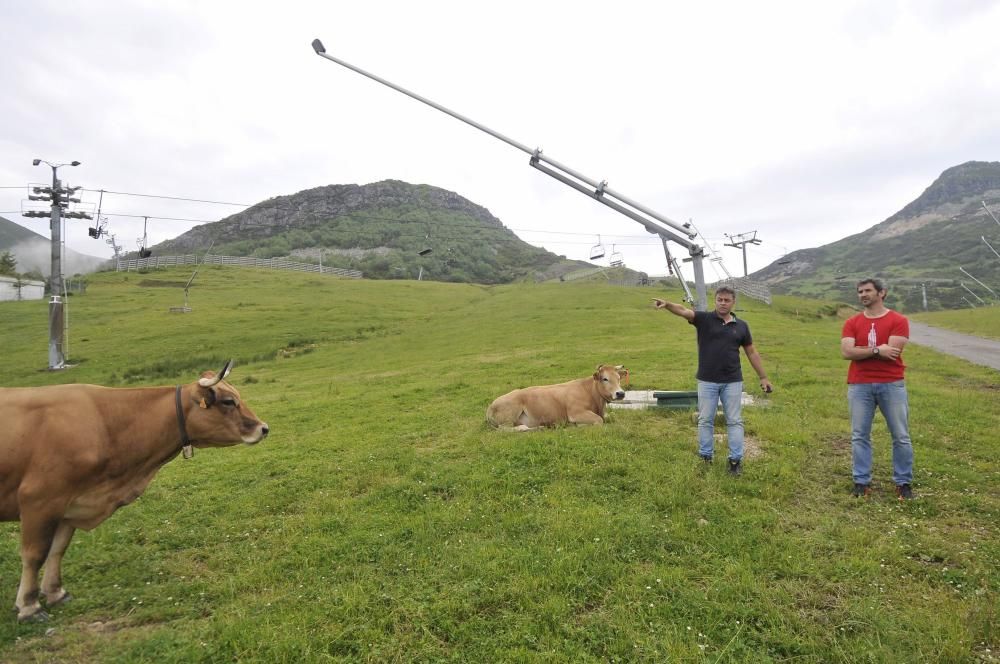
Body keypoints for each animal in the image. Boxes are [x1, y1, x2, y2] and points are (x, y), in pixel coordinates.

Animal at [0, 360, 270, 620]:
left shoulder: (71, 503)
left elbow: (58, 549)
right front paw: (29, 606)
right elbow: (35, 554)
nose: (264, 428)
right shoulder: (39, 499)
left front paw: (56, 593)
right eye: (228, 401)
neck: (104, 423)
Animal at [484, 364, 624, 430]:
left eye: (618, 378)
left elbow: (612, 417)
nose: (621, 393)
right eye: (605, 379)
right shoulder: (575, 413)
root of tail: (490, 406)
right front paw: (578, 426)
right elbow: (599, 421)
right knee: (506, 429)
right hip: (508, 417)